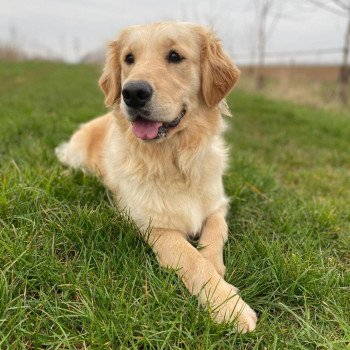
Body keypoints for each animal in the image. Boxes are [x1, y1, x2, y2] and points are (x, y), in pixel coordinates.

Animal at [54, 21, 258, 334]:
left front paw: (218, 270)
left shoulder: (218, 205)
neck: (175, 161)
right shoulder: (153, 225)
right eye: (129, 59)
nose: (132, 93)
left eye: (175, 56)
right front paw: (229, 306)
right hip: (76, 157)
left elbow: (214, 235)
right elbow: (191, 258)